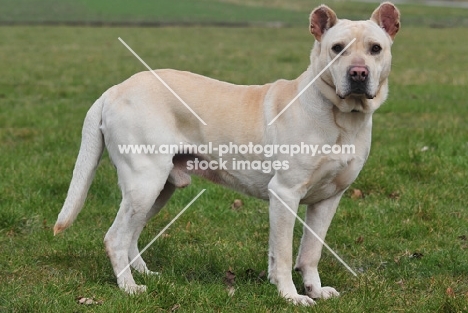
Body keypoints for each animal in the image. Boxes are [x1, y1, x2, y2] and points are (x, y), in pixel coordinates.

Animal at [54, 1, 398, 304]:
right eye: (337, 48)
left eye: (375, 48)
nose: (358, 74)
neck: (341, 117)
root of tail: (113, 90)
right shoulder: (285, 193)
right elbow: (285, 254)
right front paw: (291, 296)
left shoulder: (328, 199)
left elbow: (310, 251)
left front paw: (314, 290)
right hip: (145, 183)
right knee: (115, 238)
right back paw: (129, 288)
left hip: (159, 190)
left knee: (132, 235)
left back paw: (144, 274)